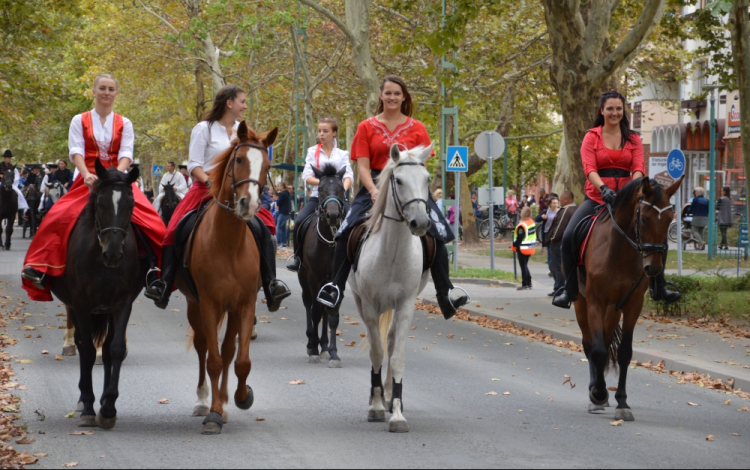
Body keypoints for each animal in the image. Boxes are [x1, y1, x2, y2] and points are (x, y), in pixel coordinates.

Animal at [176, 122, 276, 436]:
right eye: (239, 159)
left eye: (267, 165)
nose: (248, 204)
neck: (229, 242)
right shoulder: (209, 303)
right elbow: (214, 360)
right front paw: (213, 414)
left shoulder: (244, 304)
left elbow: (240, 360)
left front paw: (241, 398)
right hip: (194, 305)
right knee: (202, 347)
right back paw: (204, 401)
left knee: (229, 350)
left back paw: (224, 400)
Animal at [352, 144, 434, 434]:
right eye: (397, 180)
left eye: (427, 179)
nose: (420, 222)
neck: (392, 253)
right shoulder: (369, 305)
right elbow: (376, 352)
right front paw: (375, 406)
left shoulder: (407, 304)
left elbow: (396, 356)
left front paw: (397, 413)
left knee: (390, 340)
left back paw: (388, 395)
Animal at [576, 176, 680, 422]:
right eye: (643, 218)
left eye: (670, 219)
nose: (653, 267)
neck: (619, 251)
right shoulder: (595, 302)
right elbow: (597, 351)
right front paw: (599, 393)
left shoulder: (632, 305)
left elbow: (623, 353)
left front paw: (621, 402)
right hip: (581, 304)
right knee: (589, 344)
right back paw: (595, 391)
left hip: (613, 310)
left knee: (604, 341)